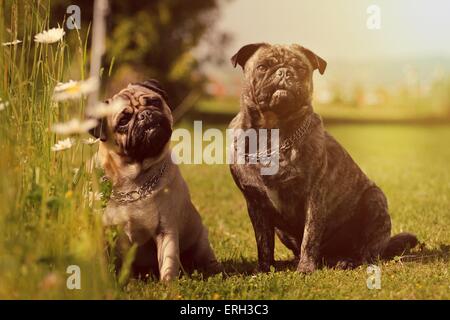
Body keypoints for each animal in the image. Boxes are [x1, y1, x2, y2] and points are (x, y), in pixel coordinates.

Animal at [229, 43, 418, 272]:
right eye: (262, 67)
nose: (284, 72)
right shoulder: (256, 204)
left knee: (367, 253)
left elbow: (309, 237)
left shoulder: (314, 196)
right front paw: (264, 269)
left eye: (301, 68)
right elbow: (263, 242)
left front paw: (305, 269)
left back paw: (347, 260)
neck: (272, 134)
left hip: (374, 201)